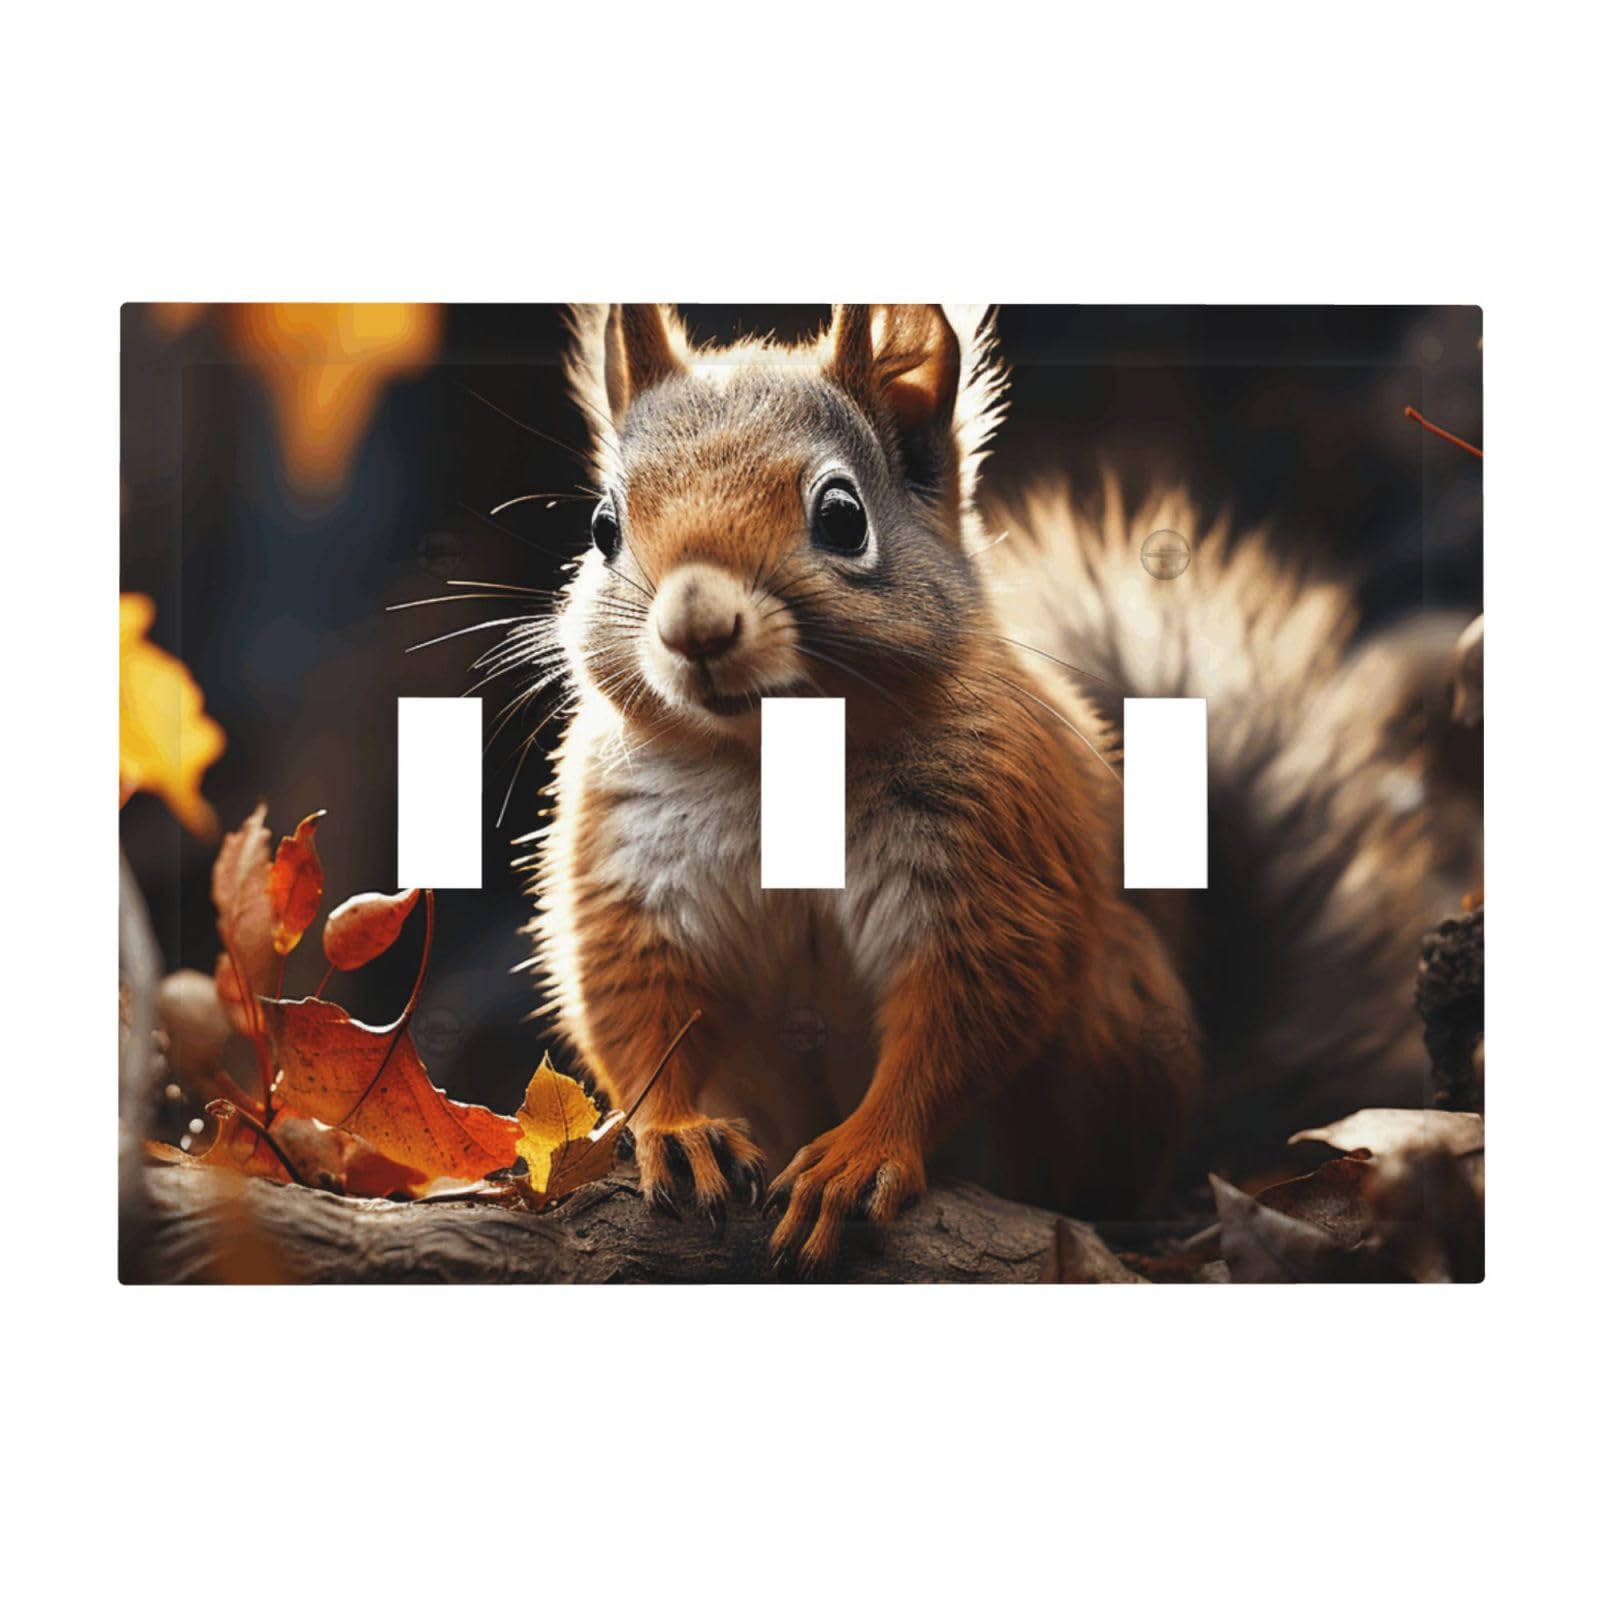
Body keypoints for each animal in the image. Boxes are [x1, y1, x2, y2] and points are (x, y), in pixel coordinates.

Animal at [523, 304, 1467, 1273]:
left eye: (842, 517)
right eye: (603, 526)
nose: (695, 626)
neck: (773, 760)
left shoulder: (987, 853)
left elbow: (964, 1011)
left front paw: (860, 1157)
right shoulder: (632, 864)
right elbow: (637, 1005)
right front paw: (678, 1131)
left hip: (1118, 1026)